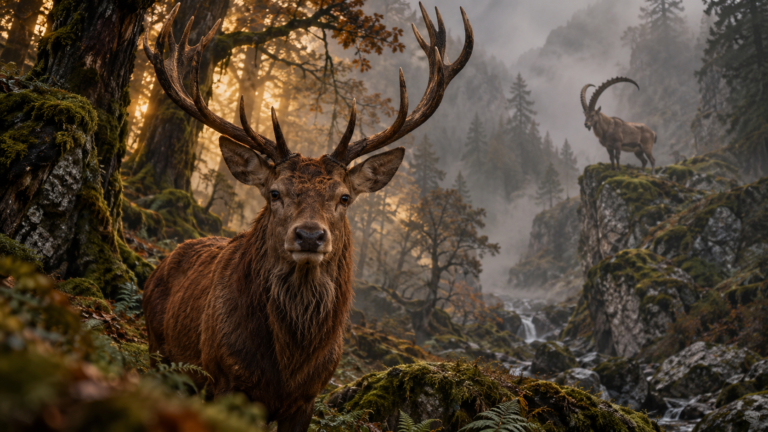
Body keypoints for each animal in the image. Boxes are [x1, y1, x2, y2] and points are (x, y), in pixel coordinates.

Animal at [140, 3, 473, 432]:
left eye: (344, 197)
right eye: (274, 193)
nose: (311, 236)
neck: (287, 366)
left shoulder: (309, 396)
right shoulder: (224, 376)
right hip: (157, 350)